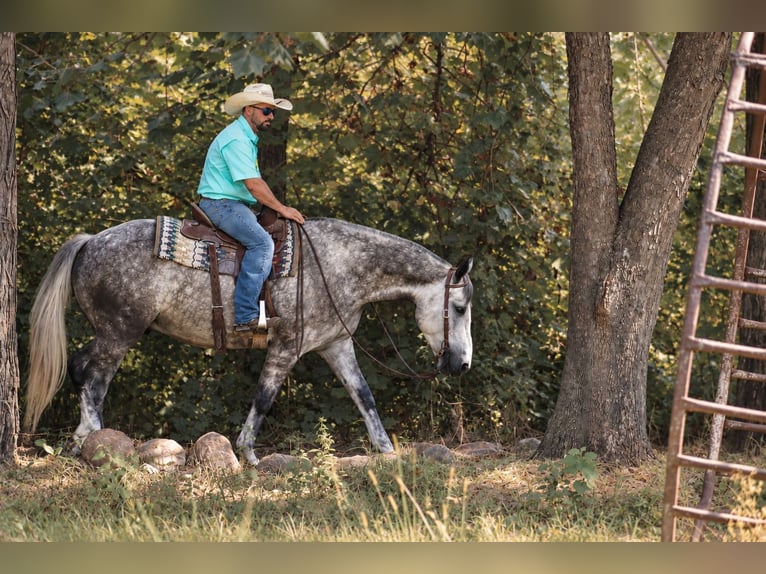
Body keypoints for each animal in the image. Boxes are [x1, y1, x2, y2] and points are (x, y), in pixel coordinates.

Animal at [24, 216, 474, 465]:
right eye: (460, 307)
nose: (462, 365)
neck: (340, 265)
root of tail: (89, 241)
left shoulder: (336, 345)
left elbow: (364, 396)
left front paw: (385, 450)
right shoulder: (287, 347)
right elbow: (264, 397)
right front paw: (248, 452)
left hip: (113, 333)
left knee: (82, 370)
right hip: (119, 333)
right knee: (92, 377)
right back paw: (94, 439)